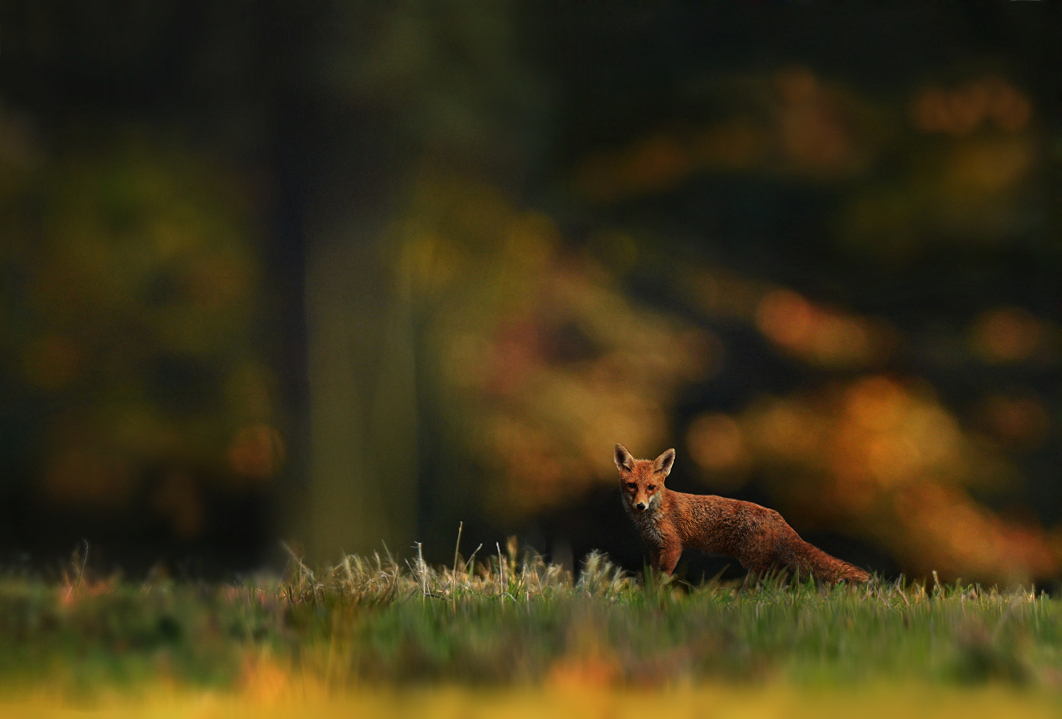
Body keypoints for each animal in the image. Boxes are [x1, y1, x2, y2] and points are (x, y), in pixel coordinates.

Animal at [615, 443, 870, 581]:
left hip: (752, 561)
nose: (640, 506)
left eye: (651, 487)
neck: (653, 515)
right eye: (632, 486)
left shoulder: (673, 547)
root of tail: (775, 514)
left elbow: (662, 579)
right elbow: (652, 576)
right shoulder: (653, 547)